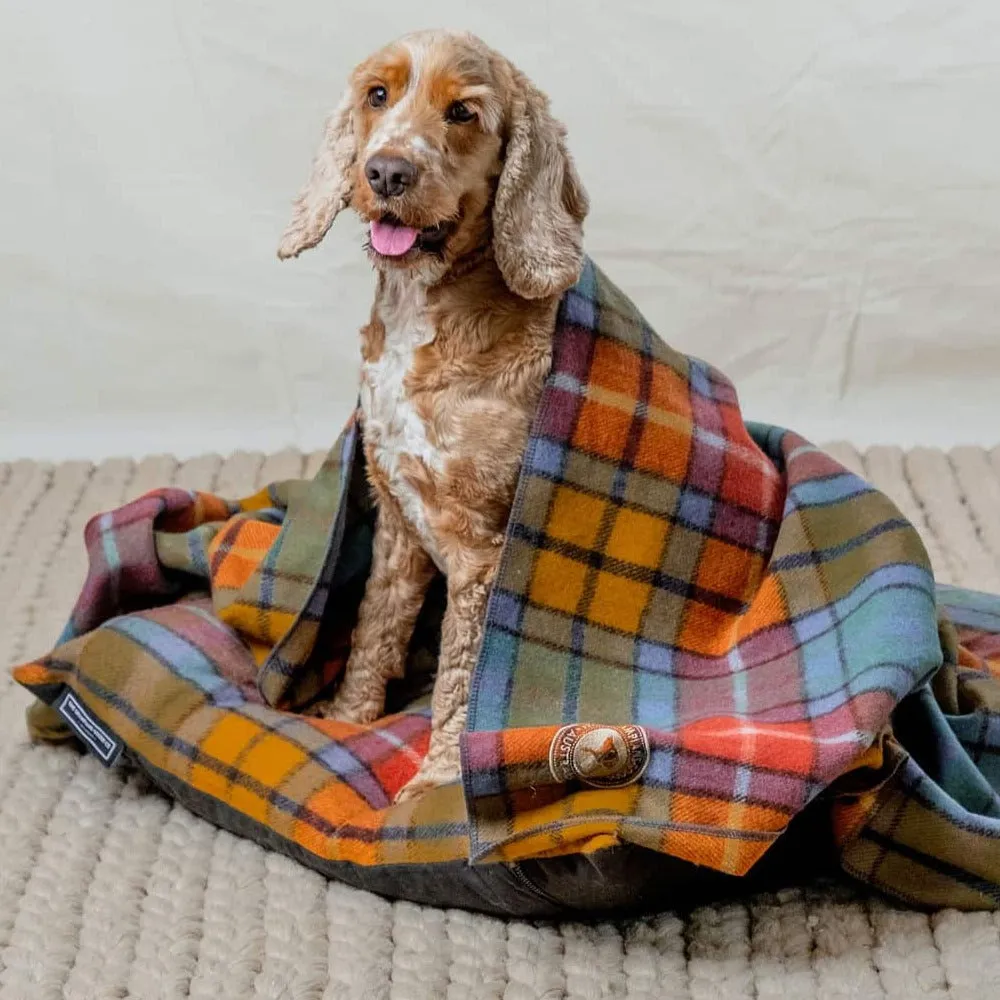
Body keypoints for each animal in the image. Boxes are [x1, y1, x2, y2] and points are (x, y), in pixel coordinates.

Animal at [276, 27, 584, 800]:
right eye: (376, 95)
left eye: (463, 113)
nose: (386, 172)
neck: (423, 306)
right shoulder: (396, 516)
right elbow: (374, 626)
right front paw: (348, 720)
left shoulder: (481, 552)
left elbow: (462, 677)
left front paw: (439, 782)